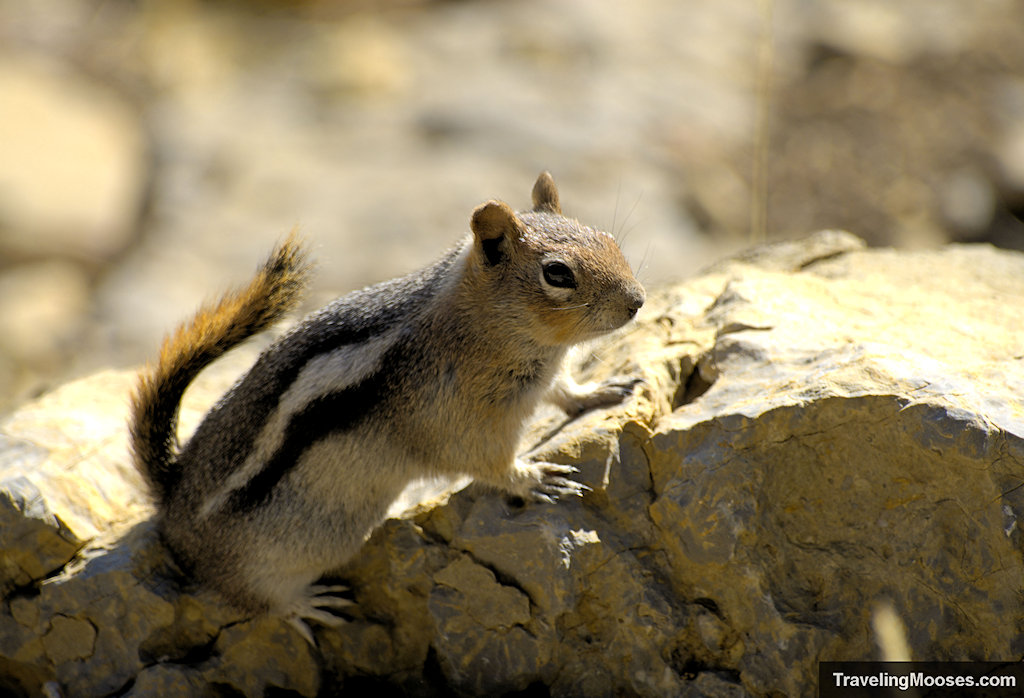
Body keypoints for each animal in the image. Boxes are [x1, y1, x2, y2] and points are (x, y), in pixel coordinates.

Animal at [125, 170, 638, 638]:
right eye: (558, 274)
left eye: (608, 238)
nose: (636, 301)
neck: (480, 324)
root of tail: (172, 498)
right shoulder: (458, 421)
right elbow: (488, 464)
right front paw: (533, 478)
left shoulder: (542, 378)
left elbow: (564, 391)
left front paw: (603, 391)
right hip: (274, 558)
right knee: (253, 598)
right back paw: (305, 605)